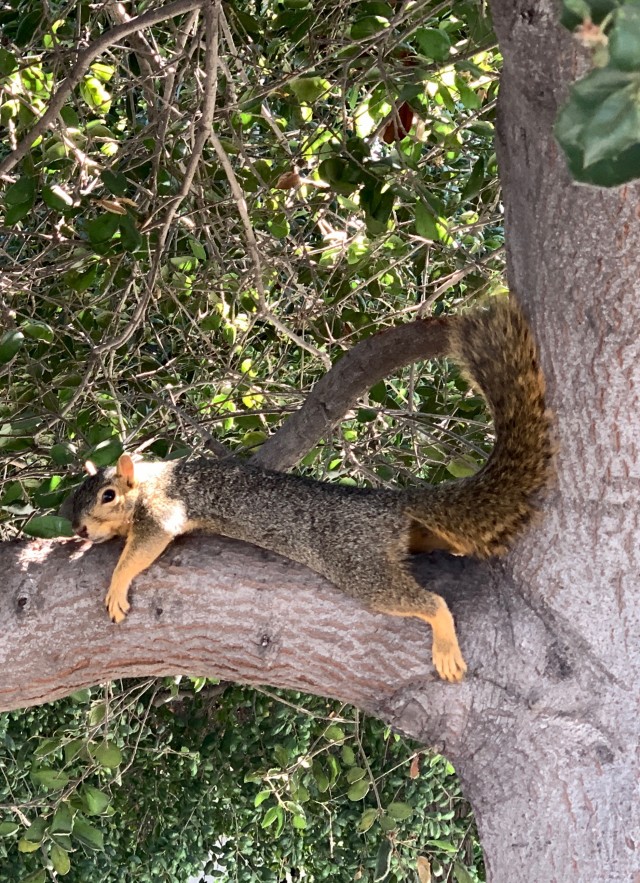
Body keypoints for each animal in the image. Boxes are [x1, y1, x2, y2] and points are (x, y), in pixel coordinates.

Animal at [58, 300, 552, 688]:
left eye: (106, 495)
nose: (78, 528)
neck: (148, 479)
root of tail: (390, 505)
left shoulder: (164, 508)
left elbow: (145, 545)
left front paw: (117, 583)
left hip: (358, 564)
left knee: (430, 602)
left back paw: (444, 640)